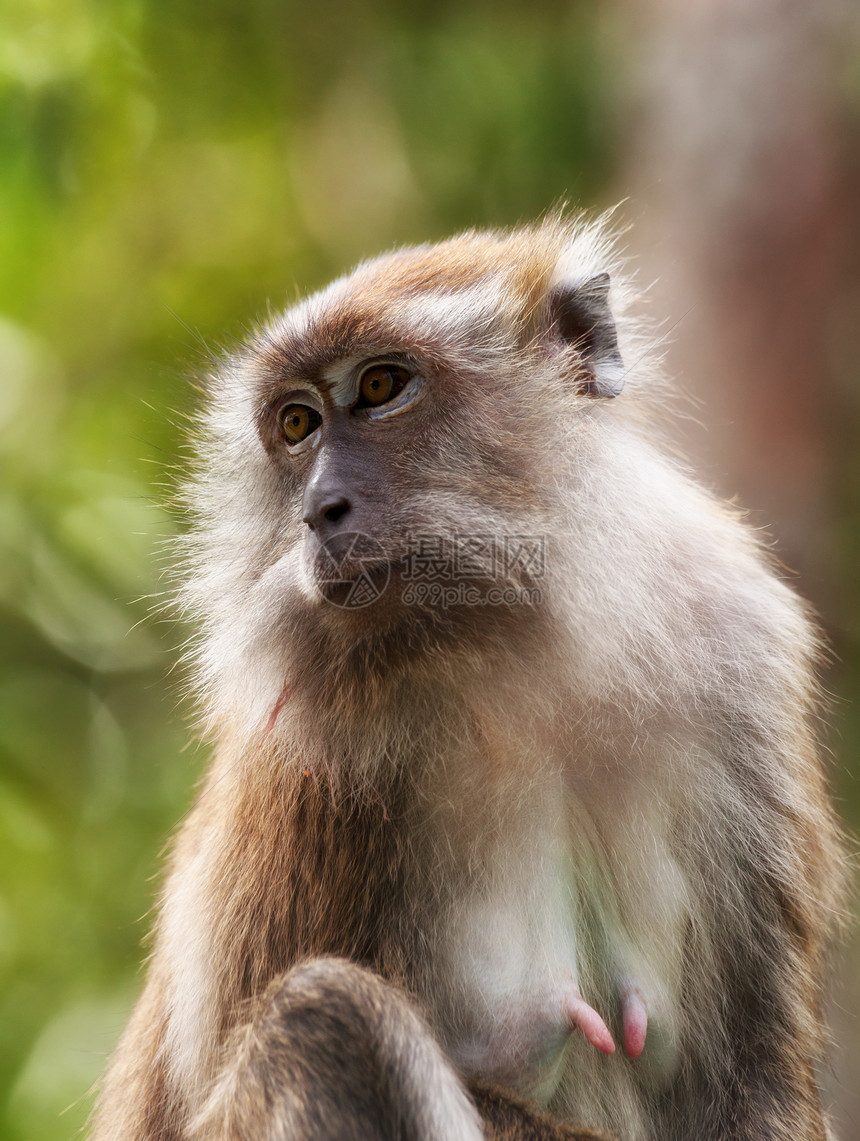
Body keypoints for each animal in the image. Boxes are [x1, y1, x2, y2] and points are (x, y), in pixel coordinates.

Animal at [90, 215, 839, 1141]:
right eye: (298, 424)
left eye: (380, 386)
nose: (318, 510)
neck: (524, 648)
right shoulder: (310, 756)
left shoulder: (742, 650)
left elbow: (758, 1076)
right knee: (327, 1013)